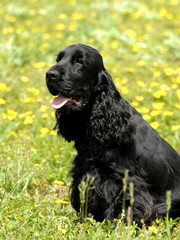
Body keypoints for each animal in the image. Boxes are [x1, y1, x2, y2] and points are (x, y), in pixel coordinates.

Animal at [46, 43, 180, 225]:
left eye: (80, 61)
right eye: (58, 59)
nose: (49, 75)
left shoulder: (123, 180)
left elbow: (120, 206)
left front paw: (110, 226)